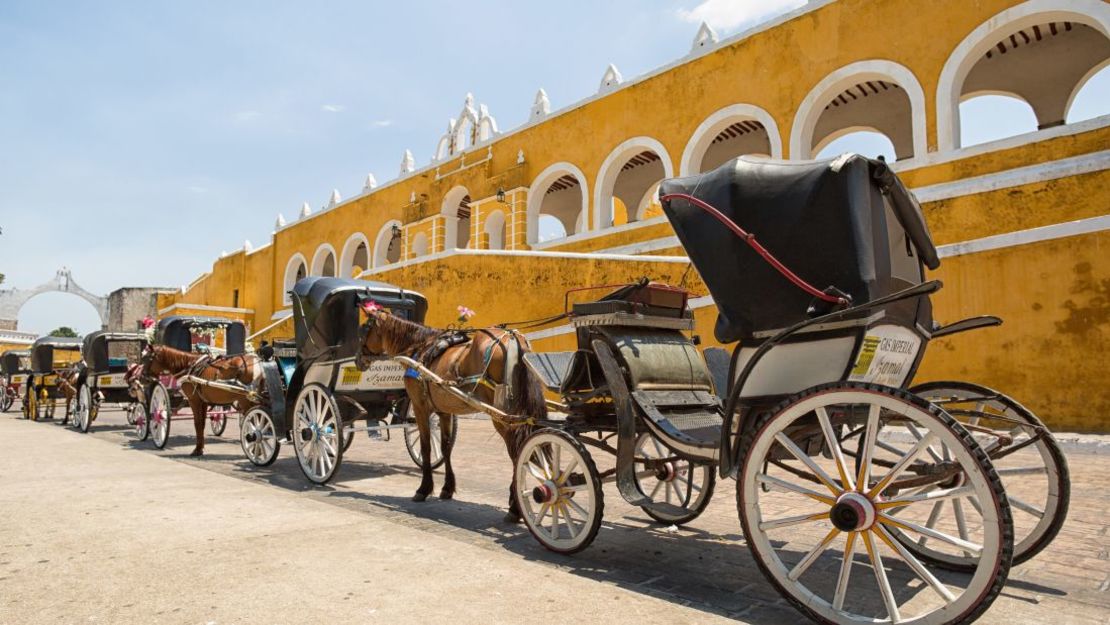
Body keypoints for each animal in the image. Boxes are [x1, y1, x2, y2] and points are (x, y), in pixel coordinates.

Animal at [355, 308, 546, 523]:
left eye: (363, 331)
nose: (357, 360)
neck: (419, 347)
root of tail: (513, 338)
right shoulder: (444, 411)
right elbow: (445, 447)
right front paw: (447, 488)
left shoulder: (420, 408)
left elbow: (426, 447)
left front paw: (423, 489)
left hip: (502, 416)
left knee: (517, 454)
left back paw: (514, 507)